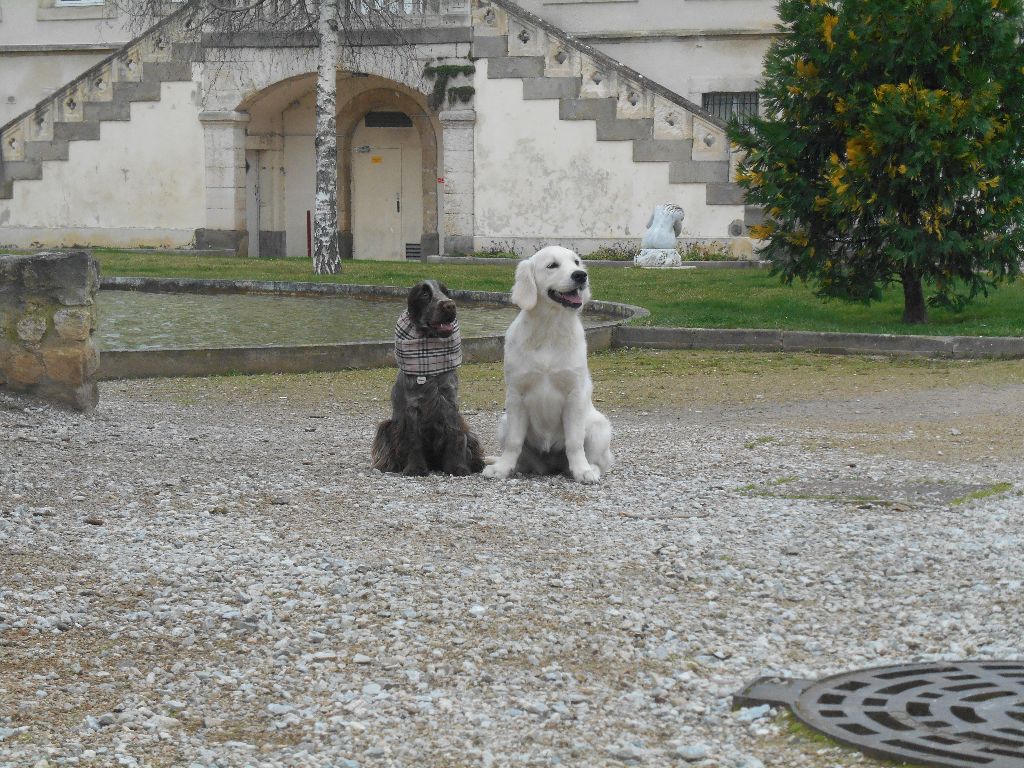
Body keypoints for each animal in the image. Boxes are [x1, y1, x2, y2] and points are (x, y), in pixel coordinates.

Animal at [481, 246, 610, 483]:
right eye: (552, 265)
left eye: (577, 262)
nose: (581, 275)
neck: (550, 329)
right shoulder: (516, 394)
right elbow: (514, 442)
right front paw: (501, 468)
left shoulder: (574, 393)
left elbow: (575, 441)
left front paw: (582, 470)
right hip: (504, 421)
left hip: (599, 426)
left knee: (601, 462)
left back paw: (589, 469)